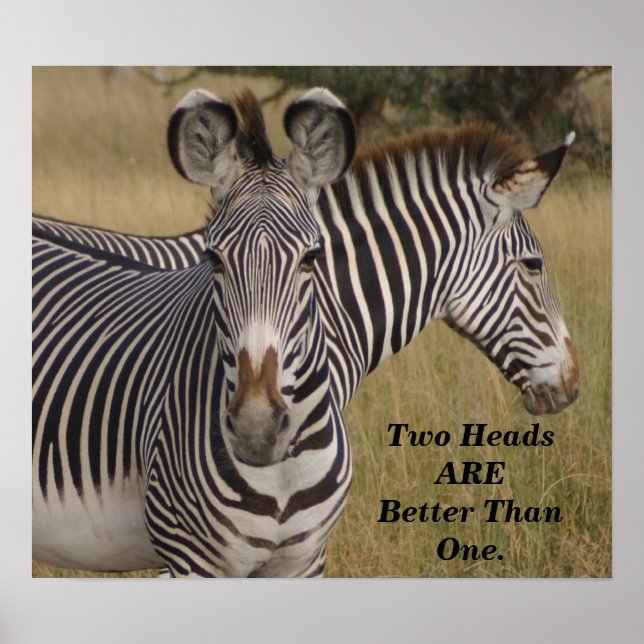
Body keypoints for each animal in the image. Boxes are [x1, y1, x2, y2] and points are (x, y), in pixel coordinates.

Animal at [33, 87, 356, 577]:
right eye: (214, 259)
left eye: (311, 258)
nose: (256, 427)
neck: (280, 473)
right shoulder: (189, 558)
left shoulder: (304, 562)